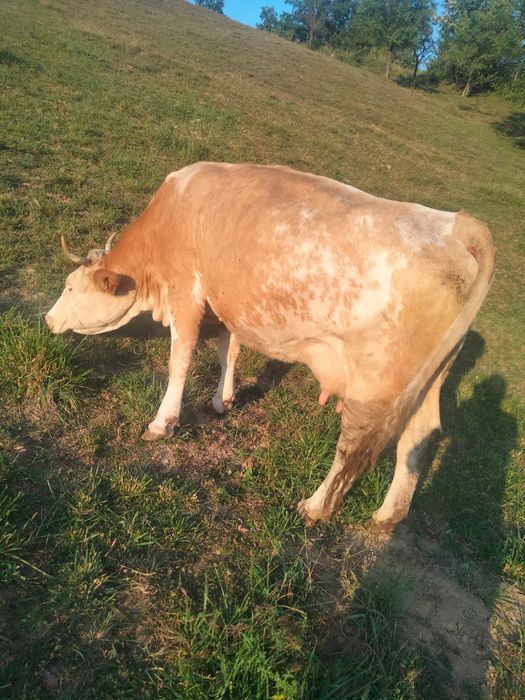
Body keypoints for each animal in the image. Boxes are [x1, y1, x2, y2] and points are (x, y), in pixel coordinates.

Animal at [46, 162, 495, 529]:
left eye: (69, 286)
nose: (49, 319)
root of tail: (457, 226)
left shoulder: (186, 292)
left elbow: (181, 360)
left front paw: (163, 423)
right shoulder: (225, 301)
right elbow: (229, 350)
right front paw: (222, 400)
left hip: (377, 381)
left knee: (354, 444)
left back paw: (316, 507)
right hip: (428, 379)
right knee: (420, 436)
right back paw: (388, 515)